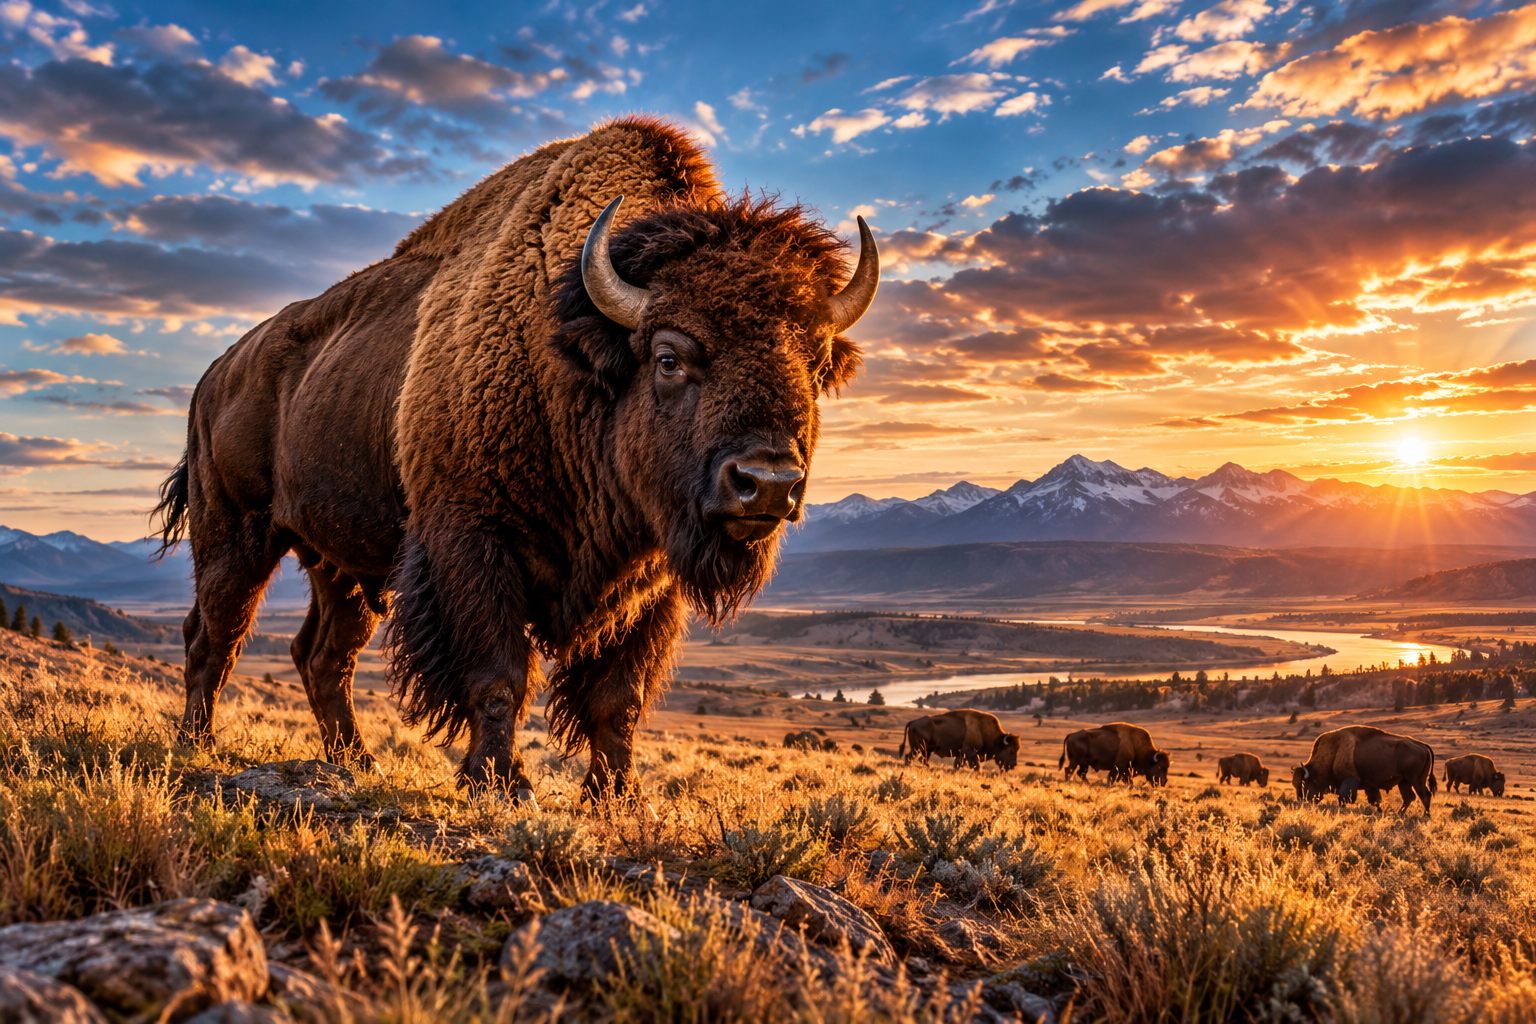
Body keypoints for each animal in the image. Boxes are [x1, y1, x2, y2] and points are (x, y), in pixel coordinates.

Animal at [153, 118, 877, 796]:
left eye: (815, 364)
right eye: (669, 356)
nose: (768, 483)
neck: (572, 357)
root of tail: (215, 375)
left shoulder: (650, 583)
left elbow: (618, 699)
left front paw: (619, 798)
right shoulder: (472, 543)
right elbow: (499, 675)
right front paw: (498, 782)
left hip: (340, 562)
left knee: (322, 654)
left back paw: (355, 761)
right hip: (236, 537)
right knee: (212, 635)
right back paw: (197, 746)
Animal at [1292, 726, 1437, 813]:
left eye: (1305, 783)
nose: (1303, 801)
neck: (1333, 751)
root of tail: (1423, 745)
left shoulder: (1350, 779)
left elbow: (1344, 798)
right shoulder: (1370, 786)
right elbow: (1375, 800)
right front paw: (1379, 812)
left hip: (1416, 780)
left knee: (1424, 795)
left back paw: (1425, 815)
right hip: (1404, 782)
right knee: (1409, 797)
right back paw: (1400, 813)